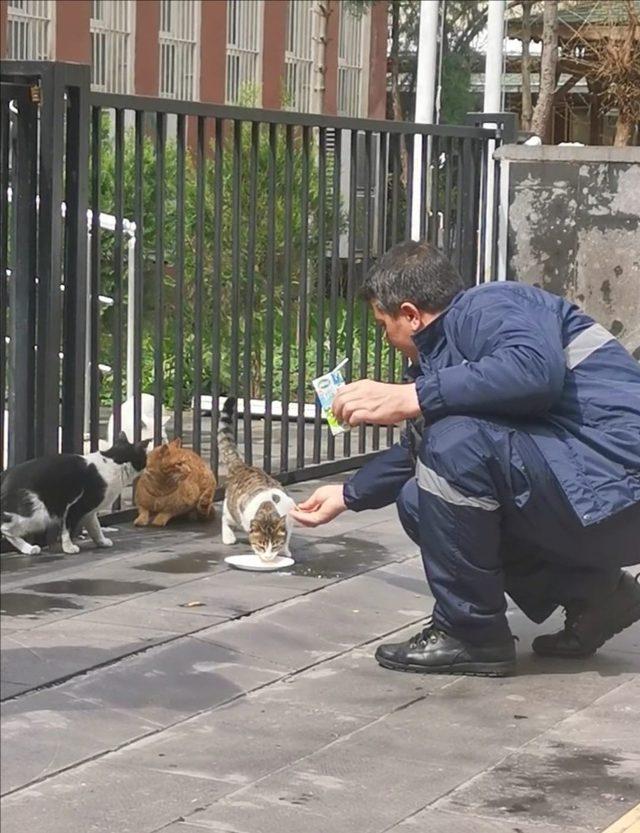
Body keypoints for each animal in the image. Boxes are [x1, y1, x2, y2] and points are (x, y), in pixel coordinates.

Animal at [0, 432, 148, 556]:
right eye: (145, 458)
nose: (147, 466)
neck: (113, 461)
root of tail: (5, 474)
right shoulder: (75, 506)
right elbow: (67, 529)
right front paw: (68, 547)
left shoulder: (89, 512)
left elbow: (96, 527)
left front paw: (102, 542)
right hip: (38, 515)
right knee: (5, 529)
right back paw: (29, 548)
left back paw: (28, 549)